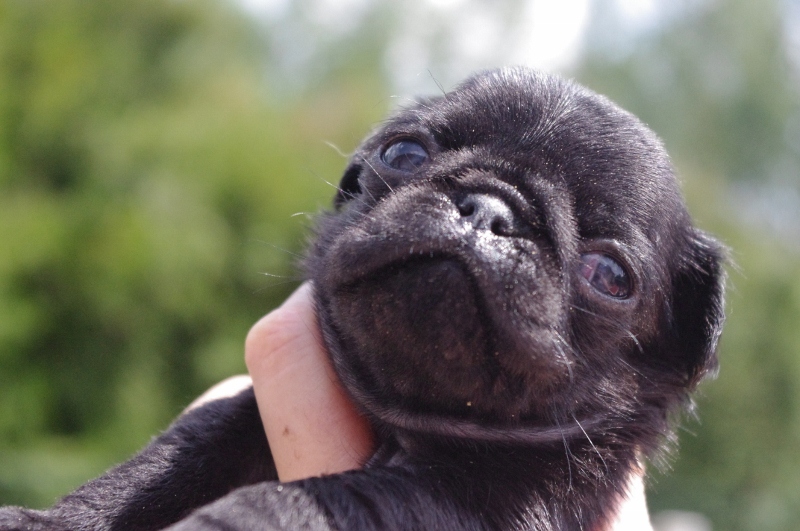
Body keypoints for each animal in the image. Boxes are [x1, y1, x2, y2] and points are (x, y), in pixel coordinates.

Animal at [0, 68, 724, 531]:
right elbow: (166, 460)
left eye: (610, 276)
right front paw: (49, 522)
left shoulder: (483, 506)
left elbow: (312, 500)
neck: (405, 426)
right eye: (403, 153)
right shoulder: (236, 420)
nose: (489, 208)